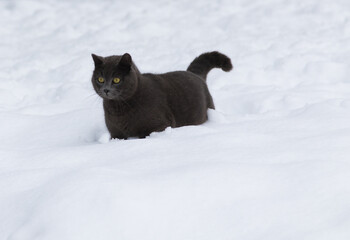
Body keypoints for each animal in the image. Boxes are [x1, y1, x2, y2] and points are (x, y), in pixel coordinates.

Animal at [91, 51, 232, 140]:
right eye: (100, 79)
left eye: (116, 80)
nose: (106, 89)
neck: (119, 110)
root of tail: (194, 74)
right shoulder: (115, 134)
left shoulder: (160, 126)